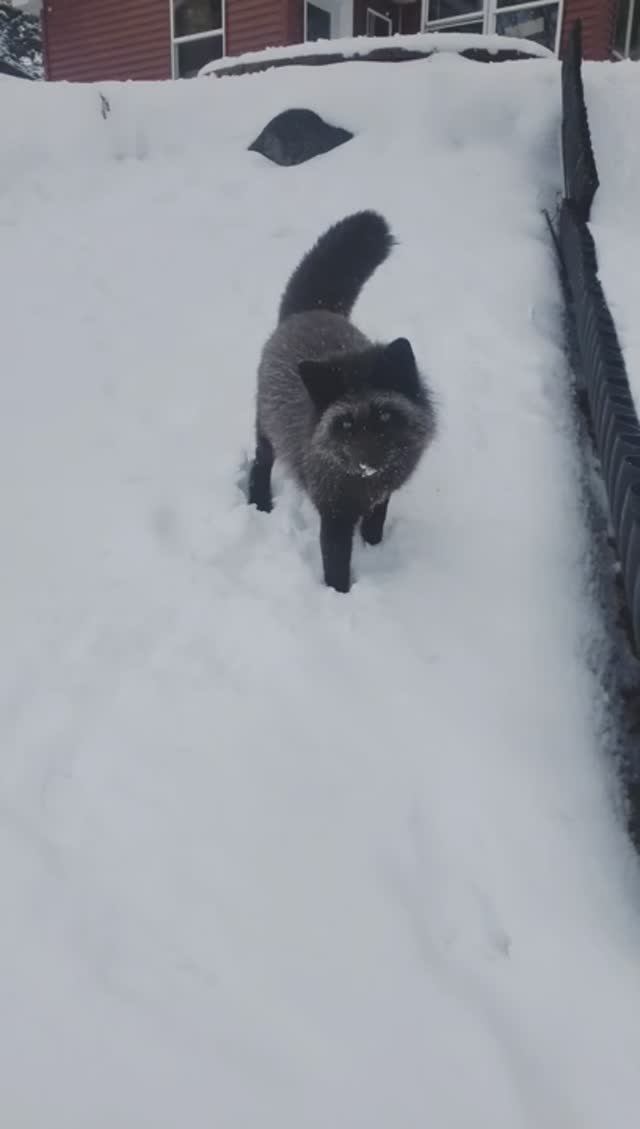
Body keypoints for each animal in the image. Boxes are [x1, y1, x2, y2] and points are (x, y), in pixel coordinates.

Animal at [248, 209, 437, 591]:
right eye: (346, 423)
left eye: (384, 416)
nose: (368, 461)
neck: (365, 484)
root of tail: (310, 311)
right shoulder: (333, 514)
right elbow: (335, 563)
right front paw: (339, 593)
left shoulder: (384, 494)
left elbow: (377, 523)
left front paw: (374, 546)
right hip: (265, 429)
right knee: (260, 462)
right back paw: (259, 500)